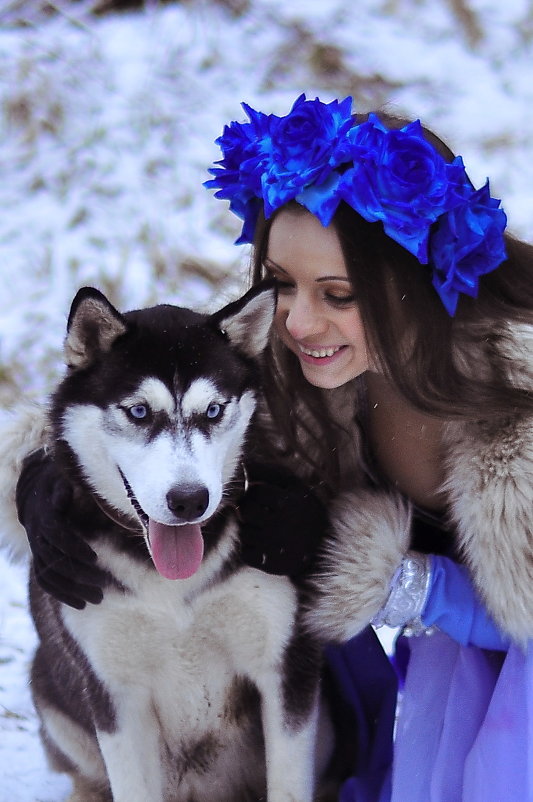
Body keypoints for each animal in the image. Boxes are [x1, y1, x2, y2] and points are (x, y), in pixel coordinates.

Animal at [26, 286, 332, 800]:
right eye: (139, 411)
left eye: (213, 410)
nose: (189, 500)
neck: (169, 583)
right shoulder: (115, 693)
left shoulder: (283, 667)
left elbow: (288, 784)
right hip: (49, 690)